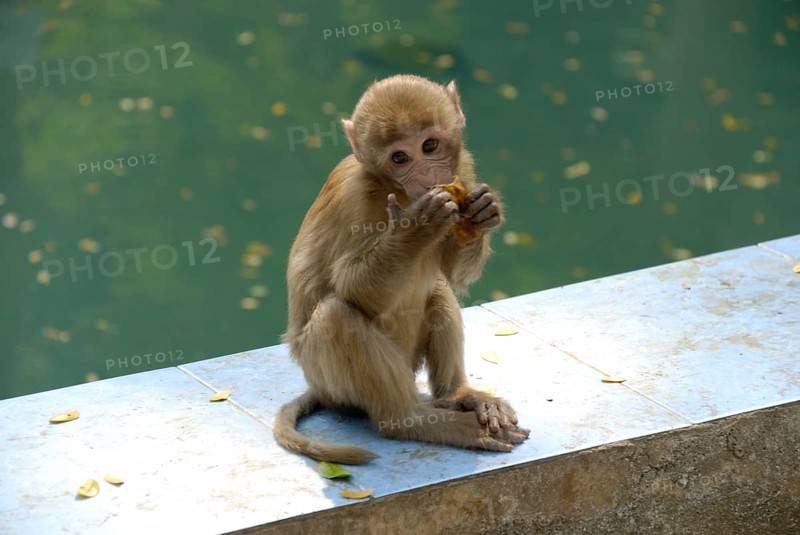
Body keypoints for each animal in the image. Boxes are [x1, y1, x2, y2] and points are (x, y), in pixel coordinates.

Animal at [273, 74, 529, 464]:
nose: (424, 174)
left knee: (438, 289)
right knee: (337, 314)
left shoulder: (462, 170)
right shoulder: (354, 196)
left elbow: (453, 275)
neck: (395, 190)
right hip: (331, 379)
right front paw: (416, 228)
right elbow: (350, 288)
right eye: (399, 157)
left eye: (429, 145)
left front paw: (483, 212)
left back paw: (458, 396)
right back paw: (412, 421)